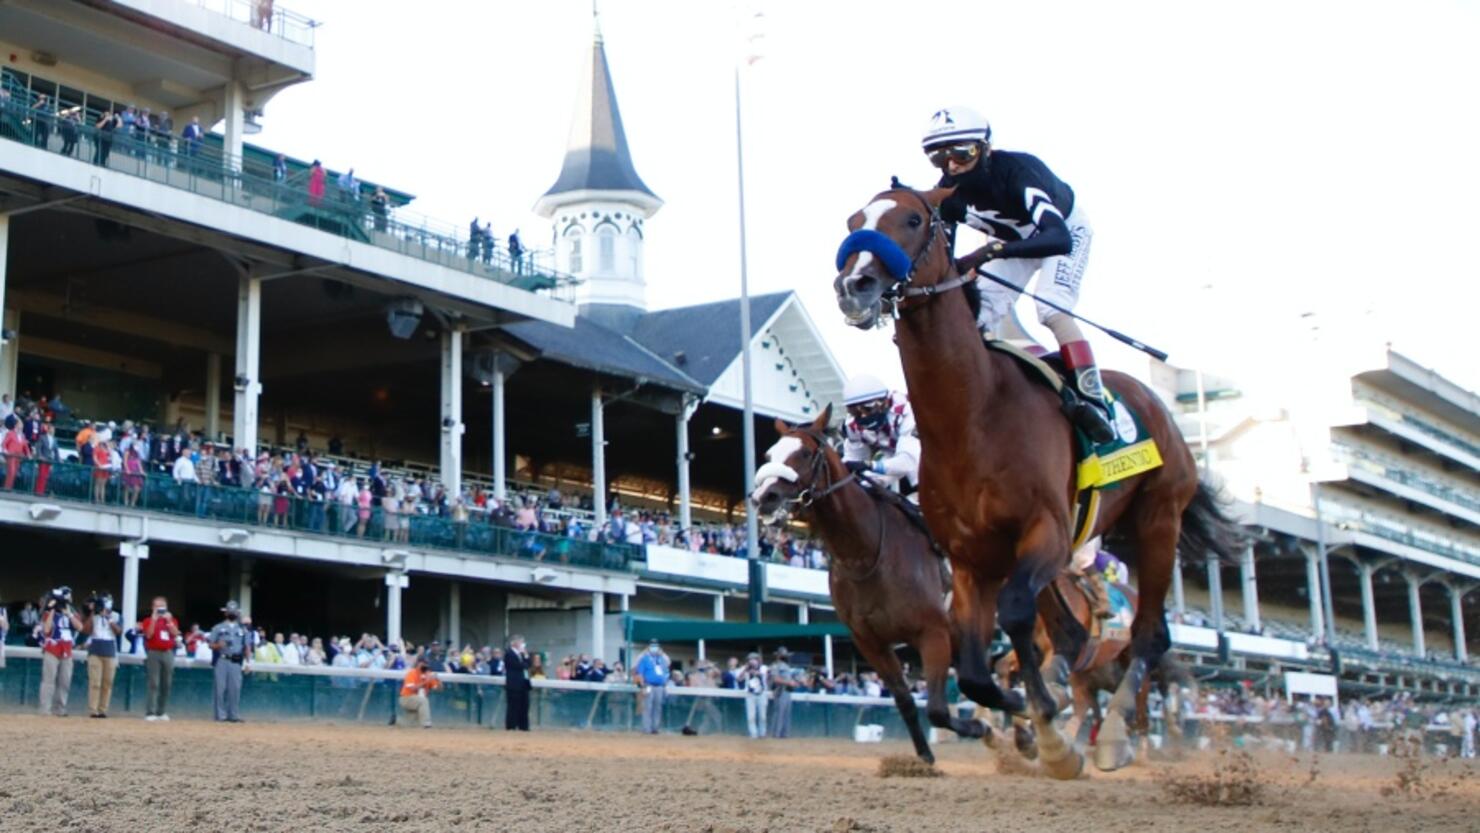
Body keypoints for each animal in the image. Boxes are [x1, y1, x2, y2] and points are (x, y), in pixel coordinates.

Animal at [751, 408, 994, 763]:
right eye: (770, 455)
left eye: (805, 453)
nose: (763, 497)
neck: (866, 553)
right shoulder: (870, 641)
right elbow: (905, 700)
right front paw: (925, 758)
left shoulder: (932, 632)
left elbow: (937, 709)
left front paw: (982, 729)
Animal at [834, 185, 1237, 781]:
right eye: (853, 221)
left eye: (911, 219)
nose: (853, 285)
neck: (973, 416)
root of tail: (1152, 400)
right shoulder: (971, 560)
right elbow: (976, 670)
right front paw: (1025, 721)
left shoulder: (1046, 531)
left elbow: (1018, 619)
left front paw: (1048, 733)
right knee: (1084, 640)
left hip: (1159, 518)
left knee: (1147, 634)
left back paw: (1114, 737)